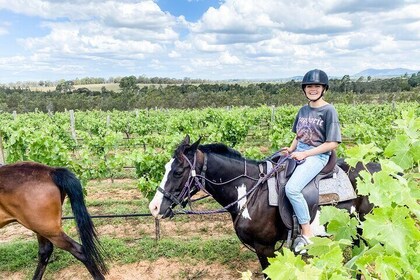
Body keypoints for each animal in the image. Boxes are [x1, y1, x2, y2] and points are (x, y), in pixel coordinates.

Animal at [150, 136, 378, 274]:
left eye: (178, 171)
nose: (154, 207)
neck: (251, 192)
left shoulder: (265, 247)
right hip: (353, 233)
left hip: (365, 233)